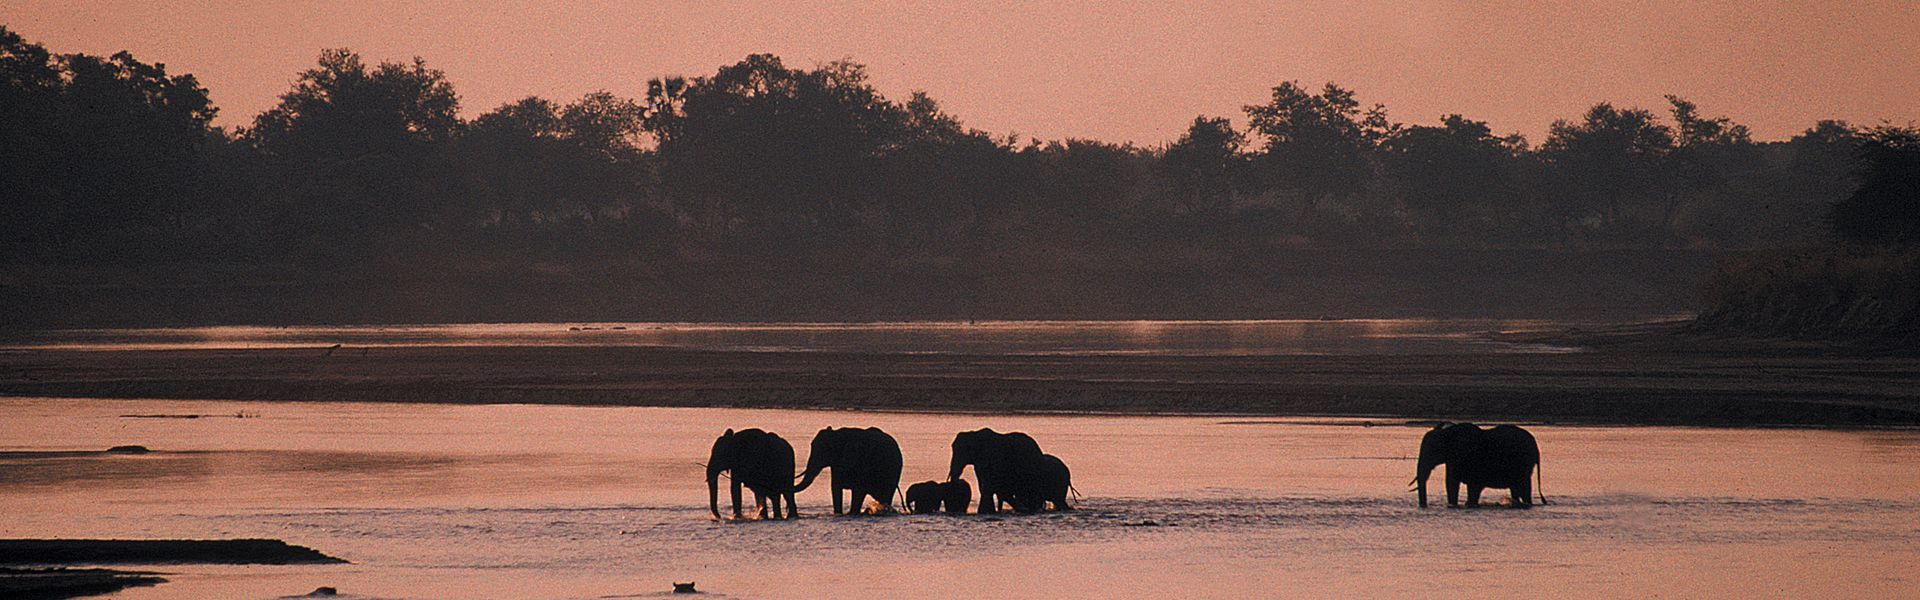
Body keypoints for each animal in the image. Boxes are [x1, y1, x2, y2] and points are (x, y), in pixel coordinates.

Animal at [1412, 422, 1545, 509]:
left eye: (1432, 450)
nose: (1424, 506)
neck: (1447, 432)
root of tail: (1536, 446)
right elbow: (1452, 483)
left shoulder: (1466, 456)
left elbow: (1468, 485)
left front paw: (1466, 505)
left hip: (1524, 462)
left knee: (1523, 486)